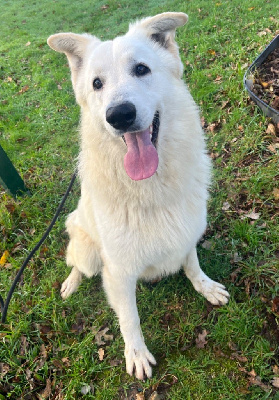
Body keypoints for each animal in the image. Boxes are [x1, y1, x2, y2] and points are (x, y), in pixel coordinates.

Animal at [47, 12, 230, 380]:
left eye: (142, 69)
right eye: (97, 84)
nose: (119, 115)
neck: (151, 188)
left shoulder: (186, 232)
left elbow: (192, 264)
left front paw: (205, 286)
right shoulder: (119, 274)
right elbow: (129, 318)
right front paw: (136, 353)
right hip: (88, 251)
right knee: (76, 262)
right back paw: (71, 283)